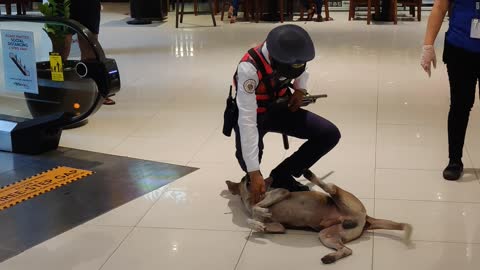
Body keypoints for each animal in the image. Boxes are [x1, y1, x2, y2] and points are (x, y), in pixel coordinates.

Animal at [225, 170, 412, 264]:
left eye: (245, 178)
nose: (247, 174)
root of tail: (367, 218)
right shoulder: (279, 227)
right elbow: (257, 222)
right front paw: (259, 225)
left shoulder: (281, 192)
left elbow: (258, 208)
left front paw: (260, 211)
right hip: (327, 235)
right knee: (347, 250)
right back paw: (330, 258)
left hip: (341, 199)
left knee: (331, 187)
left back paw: (310, 174)